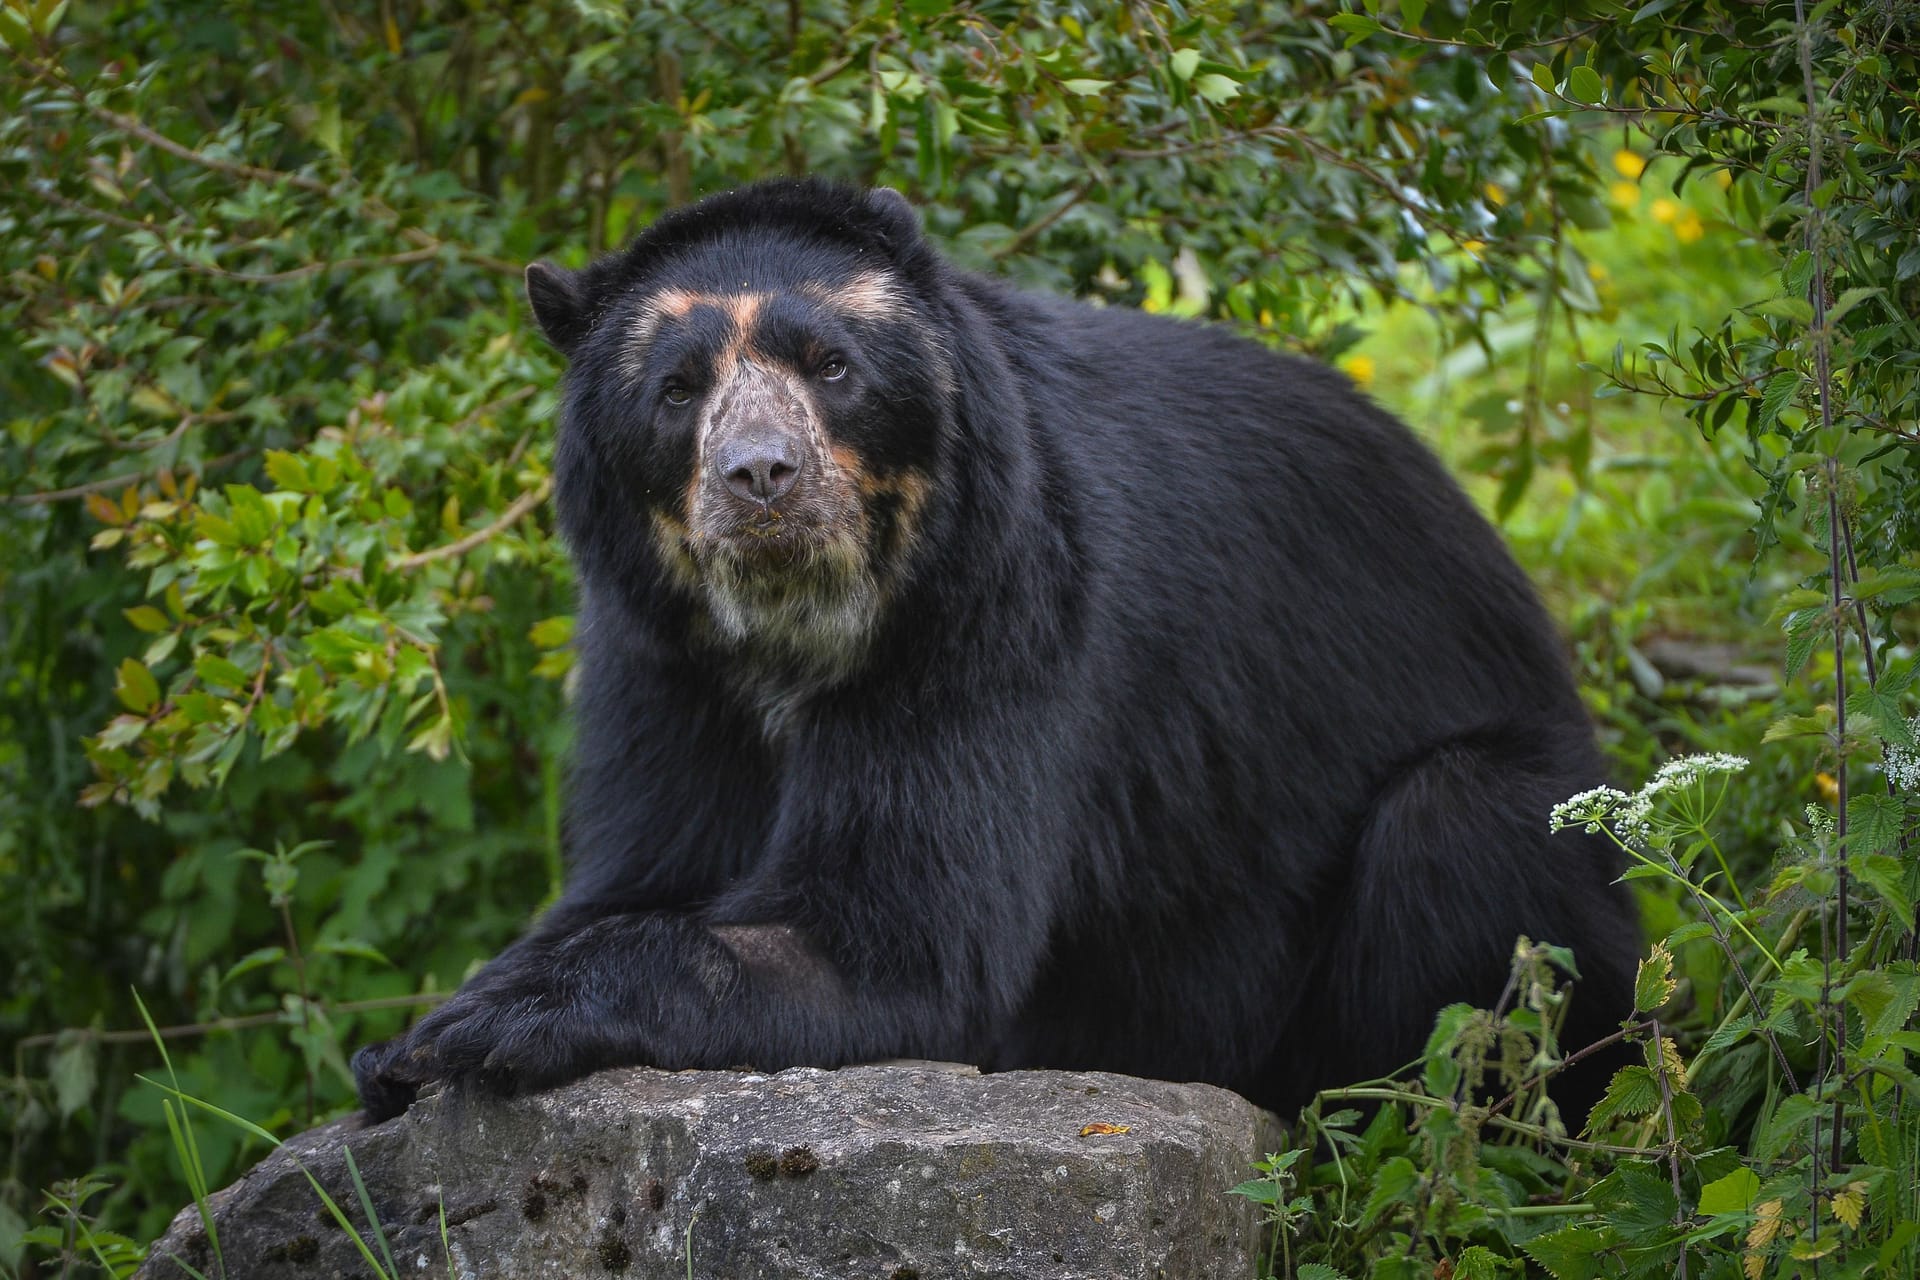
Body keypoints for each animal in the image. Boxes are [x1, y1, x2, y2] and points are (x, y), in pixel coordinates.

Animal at [357, 177, 1635, 1120]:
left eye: (833, 367)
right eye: (677, 389)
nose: (762, 477)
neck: (795, 628)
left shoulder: (1002, 606)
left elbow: (905, 943)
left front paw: (492, 1022)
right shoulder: (659, 654)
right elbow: (643, 860)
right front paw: (406, 1040)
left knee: (1459, 834)